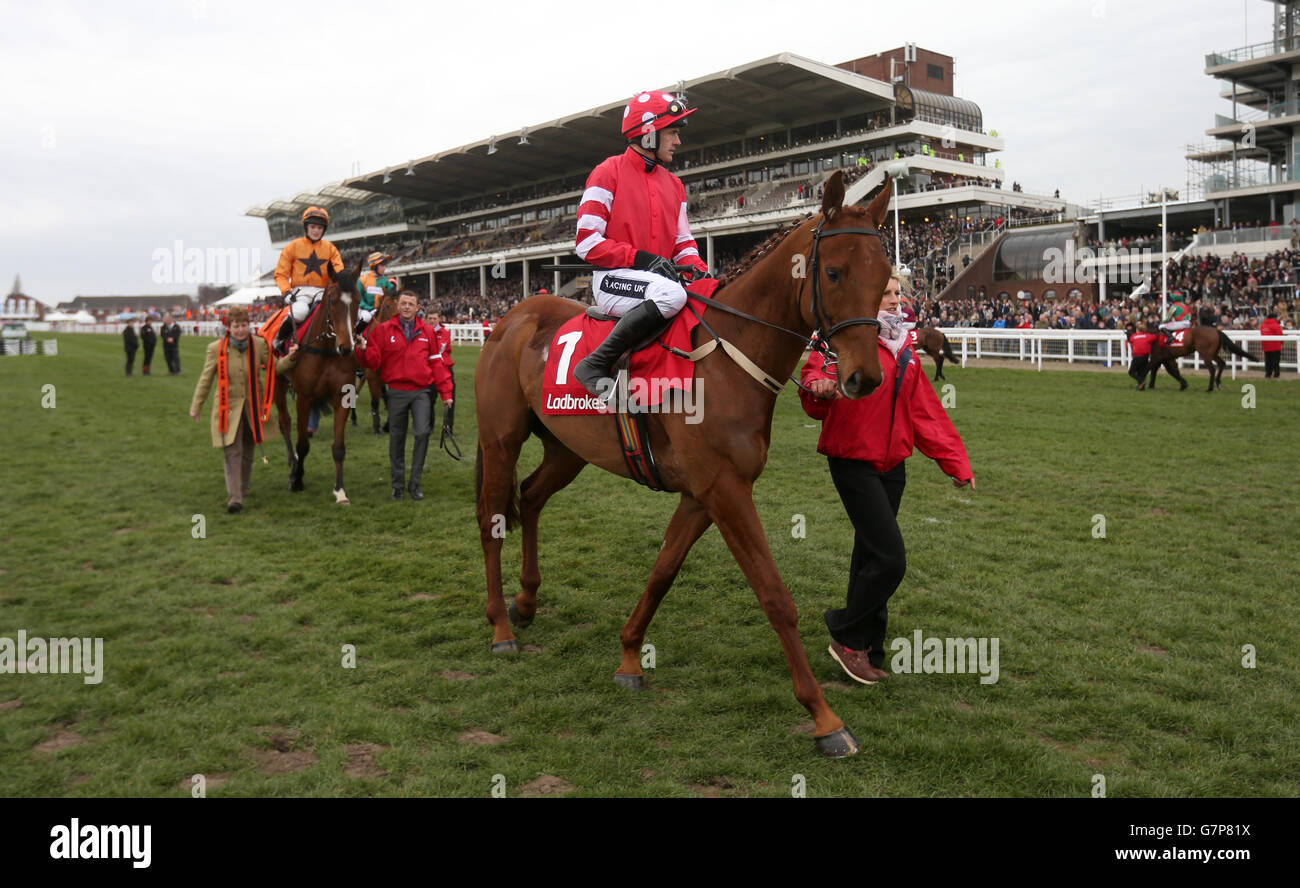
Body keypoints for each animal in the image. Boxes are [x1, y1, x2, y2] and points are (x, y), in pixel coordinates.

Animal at [271, 262, 358, 499]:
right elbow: (303, 444)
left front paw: (340, 490)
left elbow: (339, 447)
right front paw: (297, 479)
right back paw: (292, 463)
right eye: (333, 301)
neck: (326, 349)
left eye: (357, 300)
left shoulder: (342, 396)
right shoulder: (304, 397)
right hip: (278, 381)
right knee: (284, 422)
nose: (346, 348)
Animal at [475, 174, 894, 759]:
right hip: (500, 441)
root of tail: (512, 317)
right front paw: (824, 718)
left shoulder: (701, 494)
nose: (864, 378)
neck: (725, 360)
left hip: (567, 448)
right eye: (833, 272)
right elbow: (774, 596)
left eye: (882, 275)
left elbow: (663, 571)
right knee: (492, 521)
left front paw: (630, 656)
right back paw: (500, 629)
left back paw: (528, 600)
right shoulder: (725, 490)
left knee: (532, 497)